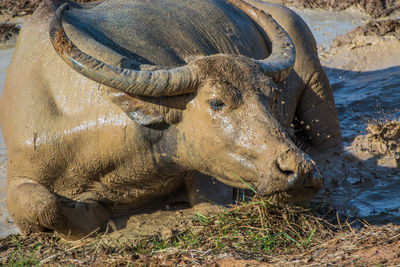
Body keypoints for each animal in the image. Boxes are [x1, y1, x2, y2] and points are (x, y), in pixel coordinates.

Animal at [0, 0, 340, 241]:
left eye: (271, 97)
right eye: (216, 102)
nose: (298, 169)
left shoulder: (204, 164)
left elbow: (207, 205)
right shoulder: (21, 172)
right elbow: (39, 202)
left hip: (315, 82)